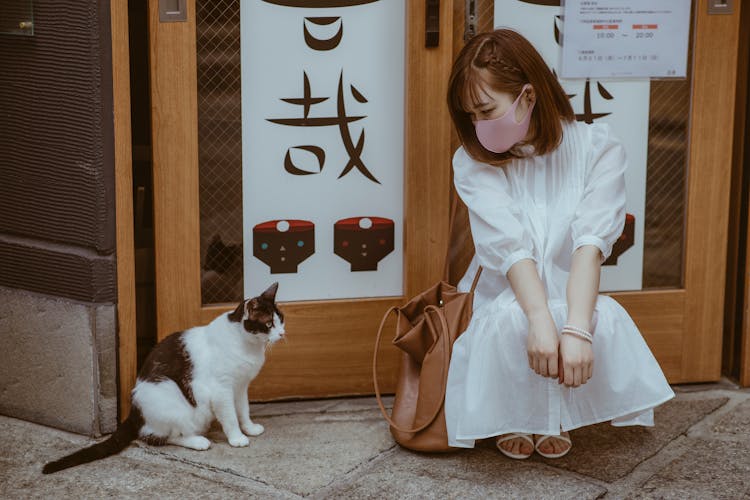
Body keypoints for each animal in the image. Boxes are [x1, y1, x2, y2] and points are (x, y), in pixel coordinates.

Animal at [43, 284, 284, 474]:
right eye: (269, 324)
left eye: (281, 320)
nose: (282, 334)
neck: (247, 344)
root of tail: (134, 412)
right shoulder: (221, 391)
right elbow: (231, 416)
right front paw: (236, 438)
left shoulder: (240, 386)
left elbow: (243, 410)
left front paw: (249, 428)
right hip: (168, 393)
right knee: (161, 436)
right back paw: (198, 441)